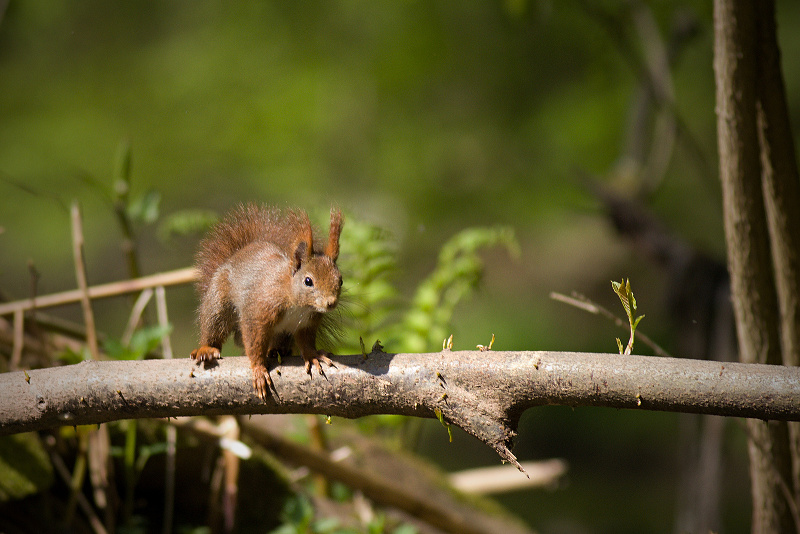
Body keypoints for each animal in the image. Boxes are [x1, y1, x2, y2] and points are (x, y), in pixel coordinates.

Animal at [195, 207, 346, 400]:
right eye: (308, 281)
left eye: (340, 280)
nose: (331, 303)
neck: (298, 304)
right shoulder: (260, 311)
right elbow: (254, 342)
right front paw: (259, 370)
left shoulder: (307, 323)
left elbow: (306, 341)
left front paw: (312, 356)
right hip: (219, 303)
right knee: (213, 326)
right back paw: (207, 349)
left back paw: (276, 350)